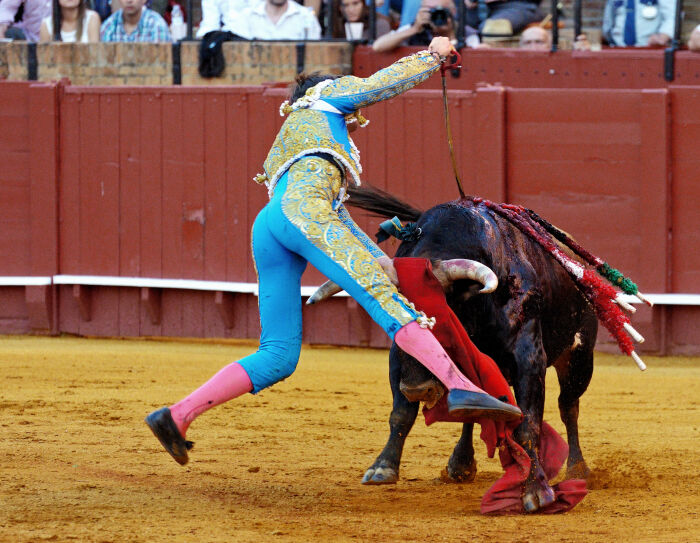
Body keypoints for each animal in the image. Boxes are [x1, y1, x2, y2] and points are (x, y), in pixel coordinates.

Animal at [350, 192, 596, 516]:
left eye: (445, 312)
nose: (417, 389)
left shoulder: (529, 358)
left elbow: (528, 423)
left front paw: (536, 491)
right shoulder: (396, 356)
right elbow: (401, 413)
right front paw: (382, 467)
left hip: (579, 359)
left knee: (569, 407)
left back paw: (578, 468)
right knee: (474, 408)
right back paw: (460, 464)